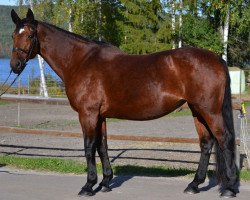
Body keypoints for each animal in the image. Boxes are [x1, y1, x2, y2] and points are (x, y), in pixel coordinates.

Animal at [9, 9, 238, 197]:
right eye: (13, 35)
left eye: (30, 35)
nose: (15, 65)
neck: (81, 62)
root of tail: (217, 59)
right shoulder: (100, 116)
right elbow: (102, 146)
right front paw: (105, 183)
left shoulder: (87, 114)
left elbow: (89, 147)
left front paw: (88, 186)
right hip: (197, 110)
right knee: (206, 143)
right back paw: (194, 185)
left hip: (210, 111)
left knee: (224, 140)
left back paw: (230, 188)